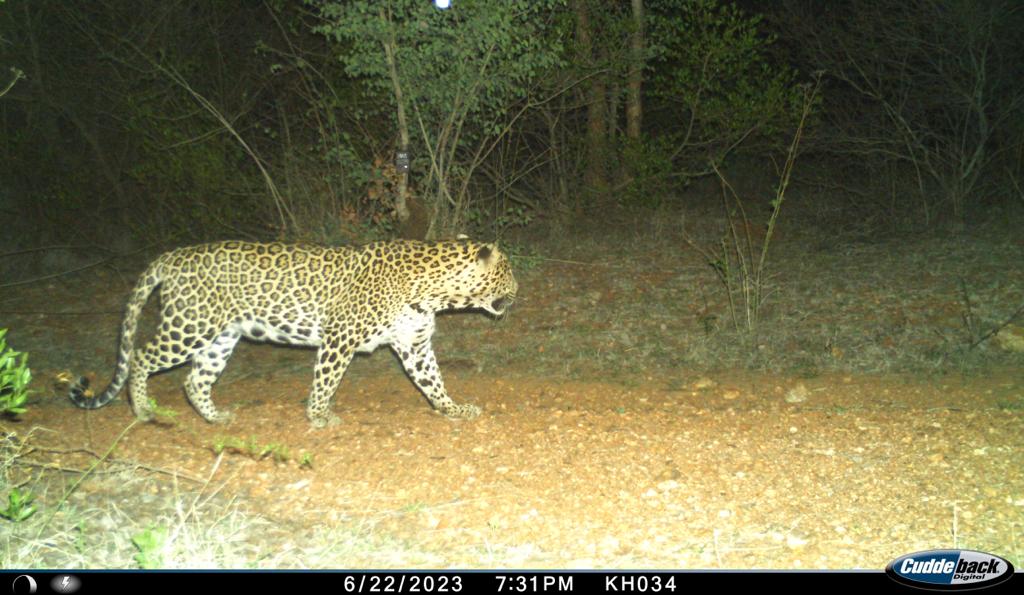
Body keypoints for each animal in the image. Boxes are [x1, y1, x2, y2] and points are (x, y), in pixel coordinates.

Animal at [70, 236, 520, 426]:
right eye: (508, 272)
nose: (519, 290)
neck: (434, 291)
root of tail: (172, 256)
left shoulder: (414, 344)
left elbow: (433, 382)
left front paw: (452, 409)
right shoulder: (340, 336)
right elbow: (326, 379)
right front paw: (318, 415)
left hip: (221, 337)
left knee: (195, 380)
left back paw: (216, 418)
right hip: (190, 326)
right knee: (141, 356)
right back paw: (143, 410)